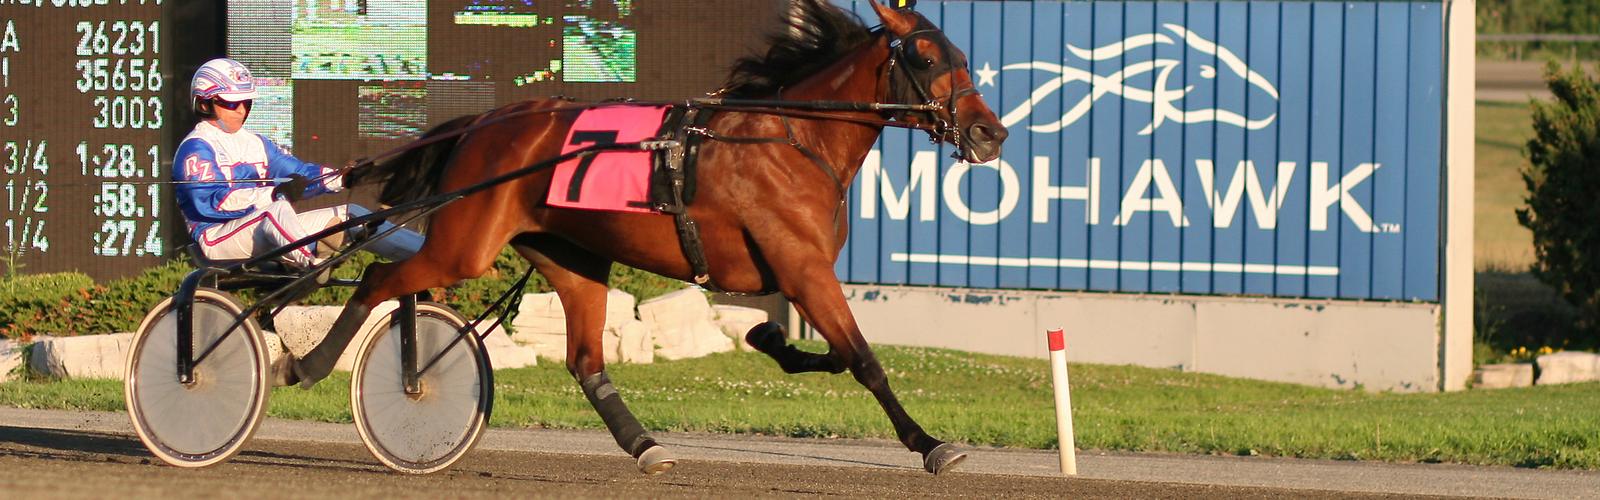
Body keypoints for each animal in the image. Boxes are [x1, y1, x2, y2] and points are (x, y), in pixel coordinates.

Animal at [290, 0, 1007, 475]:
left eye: (964, 58)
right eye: (925, 58)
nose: (989, 133)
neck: (794, 138)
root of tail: (484, 123)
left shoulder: (798, 275)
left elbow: (831, 353)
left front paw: (768, 337)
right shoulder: (804, 269)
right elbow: (863, 359)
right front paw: (932, 446)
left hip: (574, 258)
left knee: (586, 362)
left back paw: (646, 445)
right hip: (464, 245)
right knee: (379, 279)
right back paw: (313, 364)